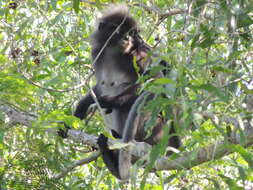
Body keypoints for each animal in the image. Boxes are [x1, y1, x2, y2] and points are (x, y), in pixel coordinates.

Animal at [70, 4, 180, 180]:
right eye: (121, 30)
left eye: (131, 33)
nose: (128, 38)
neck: (114, 51)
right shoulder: (97, 53)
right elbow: (99, 86)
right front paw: (79, 110)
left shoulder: (141, 55)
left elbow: (156, 86)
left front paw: (104, 101)